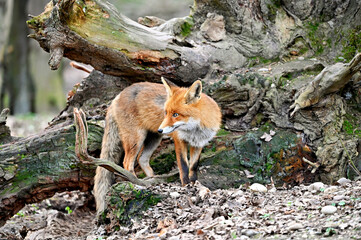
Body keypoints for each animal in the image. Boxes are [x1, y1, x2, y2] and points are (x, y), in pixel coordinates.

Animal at [93, 78, 222, 213]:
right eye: (166, 113)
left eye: (175, 114)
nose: (161, 129)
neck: (195, 130)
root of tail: (117, 96)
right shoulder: (179, 140)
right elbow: (184, 166)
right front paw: (186, 186)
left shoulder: (198, 143)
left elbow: (193, 166)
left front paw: (194, 184)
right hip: (137, 139)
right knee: (127, 162)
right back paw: (136, 183)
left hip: (154, 139)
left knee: (142, 159)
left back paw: (151, 180)